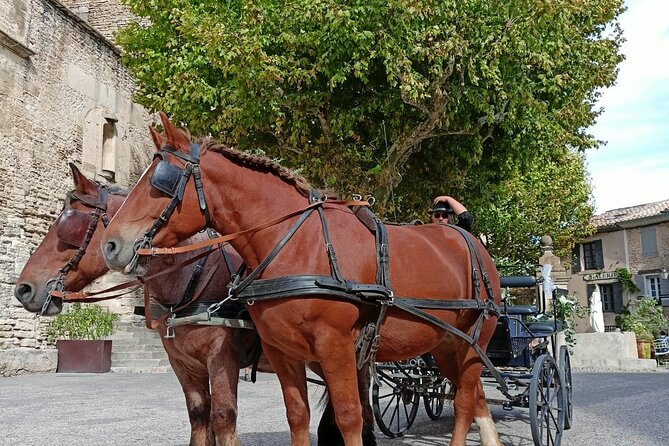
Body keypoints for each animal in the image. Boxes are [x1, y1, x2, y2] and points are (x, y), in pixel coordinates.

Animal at [100, 113, 504, 446]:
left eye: (160, 181)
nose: (111, 244)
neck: (298, 243)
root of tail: (468, 236)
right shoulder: (283, 352)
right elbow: (297, 416)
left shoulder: (335, 346)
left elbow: (349, 417)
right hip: (446, 345)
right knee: (476, 399)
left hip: (474, 341)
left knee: (464, 402)